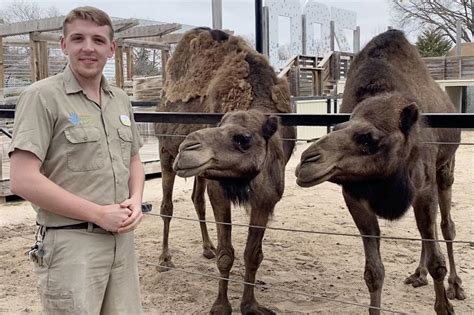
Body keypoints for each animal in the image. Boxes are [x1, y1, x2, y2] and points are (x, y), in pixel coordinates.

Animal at [157, 26, 294, 314]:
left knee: (196, 199)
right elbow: (226, 255)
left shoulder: (266, 197)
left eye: (243, 139)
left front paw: (251, 305)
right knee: (167, 206)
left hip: (199, 172)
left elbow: (253, 255)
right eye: (217, 123)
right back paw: (164, 259)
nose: (189, 147)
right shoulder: (220, 189)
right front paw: (221, 306)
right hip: (165, 152)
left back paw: (206, 247)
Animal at [294, 29, 464, 314]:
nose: (306, 162)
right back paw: (418, 275)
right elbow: (373, 272)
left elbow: (436, 260)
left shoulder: (424, 186)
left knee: (445, 226)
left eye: (369, 139)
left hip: (445, 167)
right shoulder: (354, 196)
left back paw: (456, 286)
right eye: (336, 127)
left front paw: (444, 306)